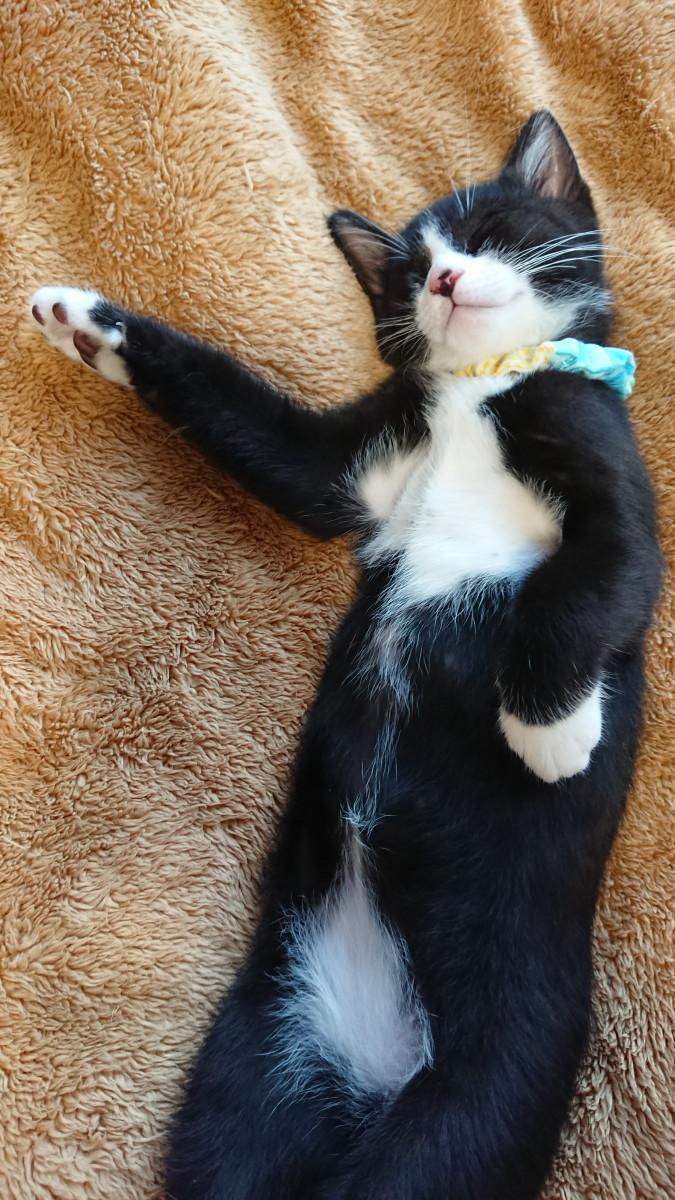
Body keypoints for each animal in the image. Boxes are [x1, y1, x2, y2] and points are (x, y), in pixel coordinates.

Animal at [30, 111, 661, 1200]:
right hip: (257, 1069)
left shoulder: (613, 477)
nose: (445, 279)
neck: (477, 394)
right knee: (235, 1153)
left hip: (473, 1106)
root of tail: (372, 1066)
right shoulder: (349, 468)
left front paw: (550, 732)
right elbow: (252, 424)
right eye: (407, 271)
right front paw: (92, 325)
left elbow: (589, 583)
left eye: (488, 233)